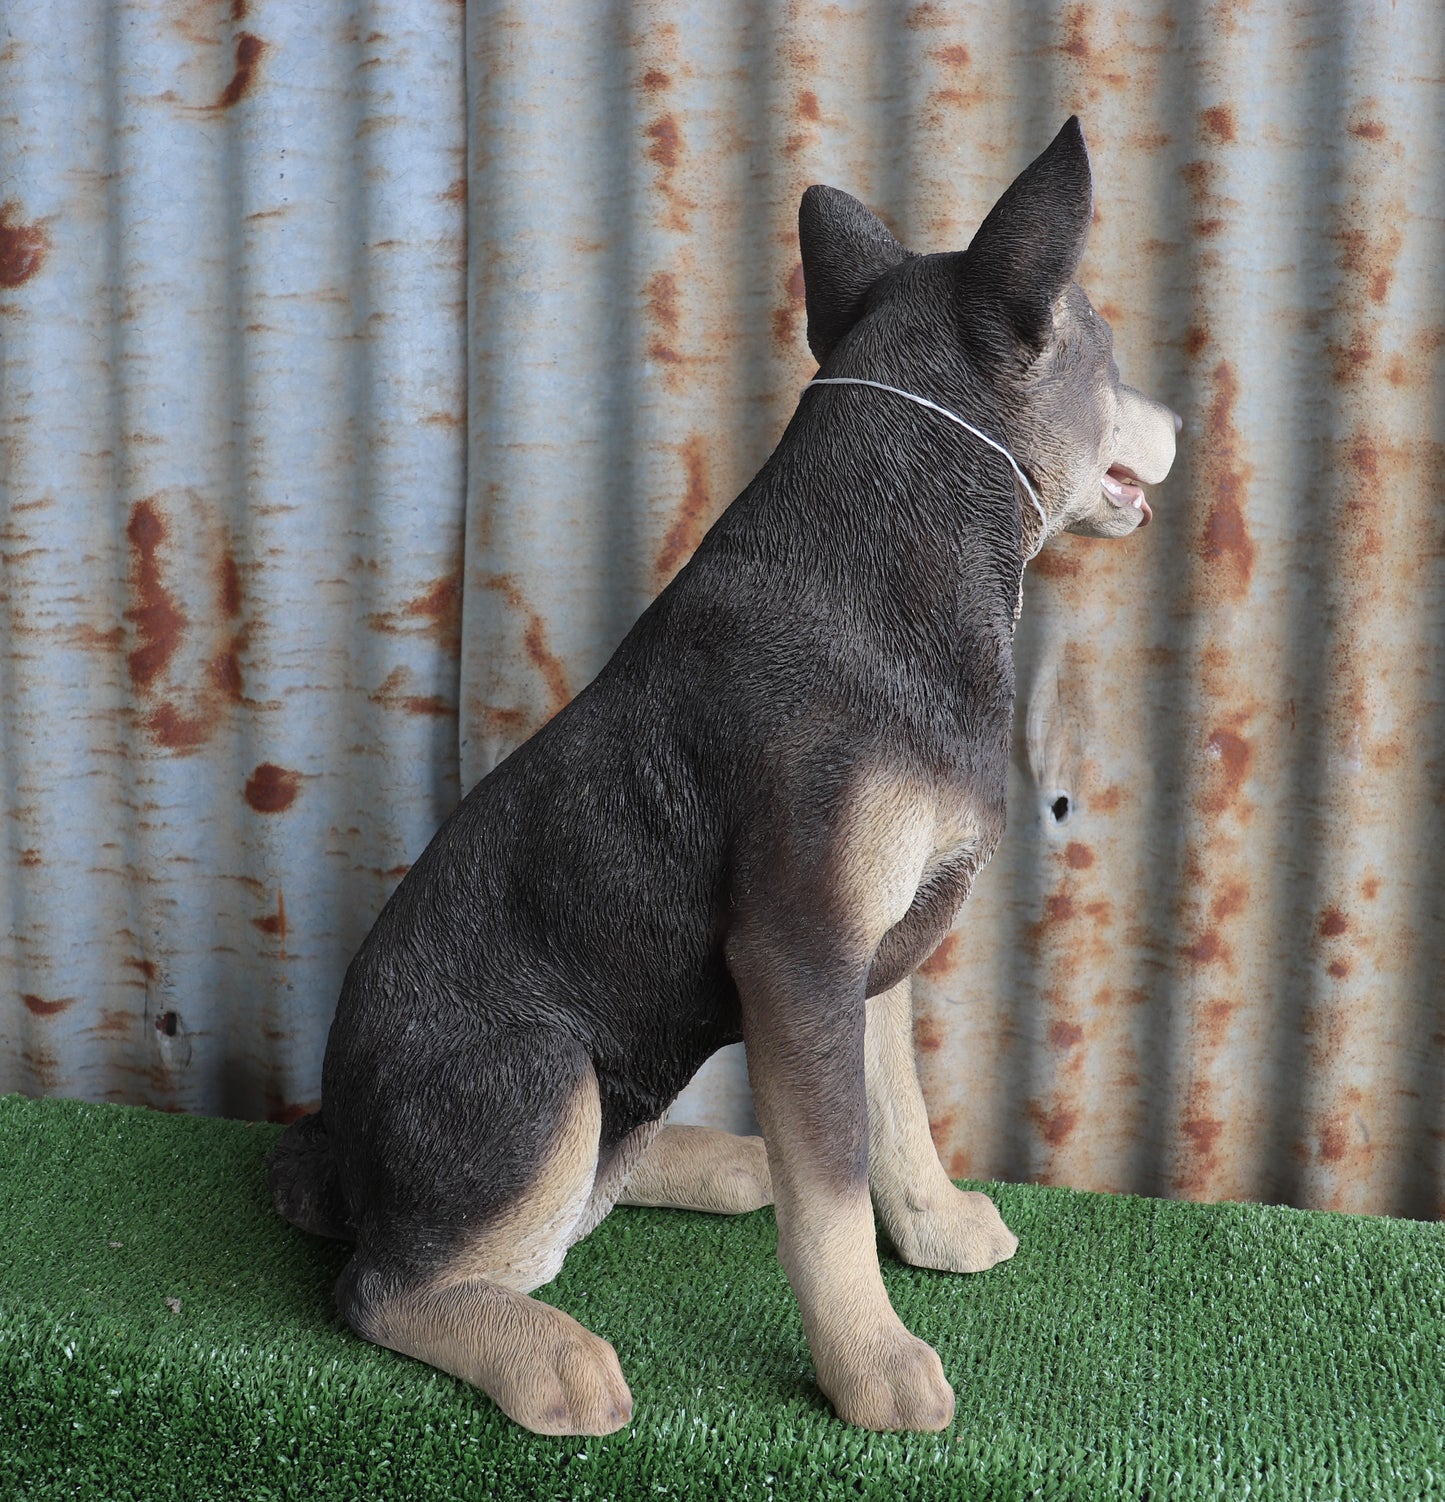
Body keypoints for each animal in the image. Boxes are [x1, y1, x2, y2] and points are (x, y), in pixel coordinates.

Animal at [267, 114, 1171, 1429]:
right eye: (1104, 354)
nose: (1177, 414)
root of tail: (327, 1154)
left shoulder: (872, 957)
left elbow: (891, 1117)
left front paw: (937, 1228)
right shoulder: (796, 952)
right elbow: (830, 1195)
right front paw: (873, 1366)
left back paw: (710, 1162)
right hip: (544, 1072)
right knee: (387, 1282)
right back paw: (549, 1355)